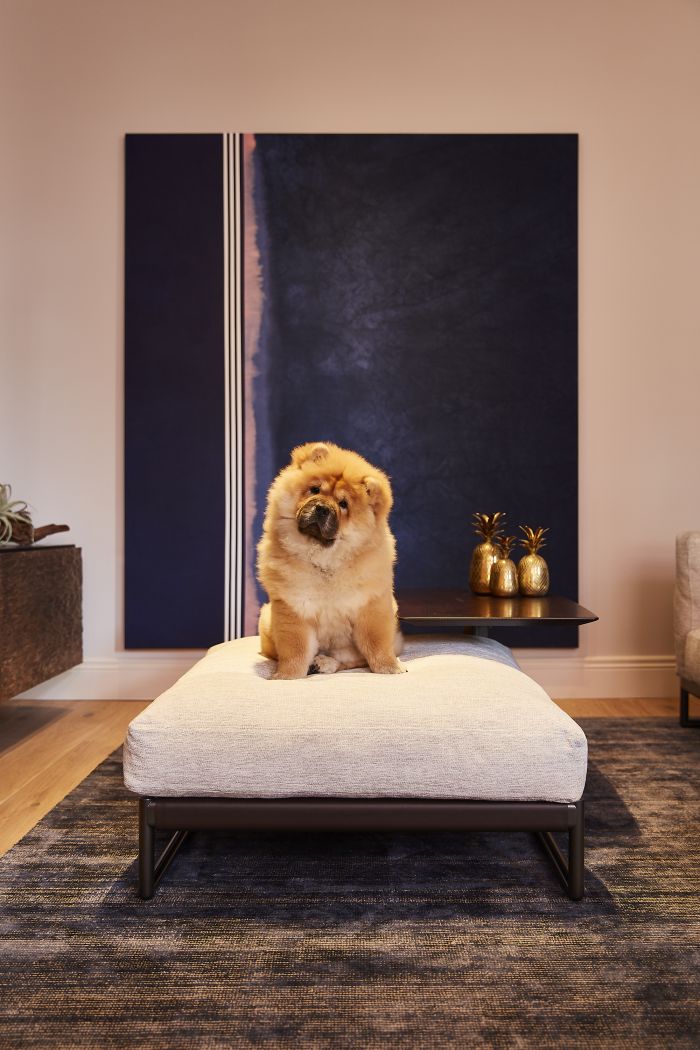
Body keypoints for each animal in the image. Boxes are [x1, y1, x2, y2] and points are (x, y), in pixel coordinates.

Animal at [257, 440, 405, 680]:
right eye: (315, 490)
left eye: (343, 504)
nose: (322, 508)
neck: (325, 559)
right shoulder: (293, 608)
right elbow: (295, 649)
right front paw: (286, 676)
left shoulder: (372, 606)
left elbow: (376, 643)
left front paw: (390, 667)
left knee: (352, 658)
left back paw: (325, 663)